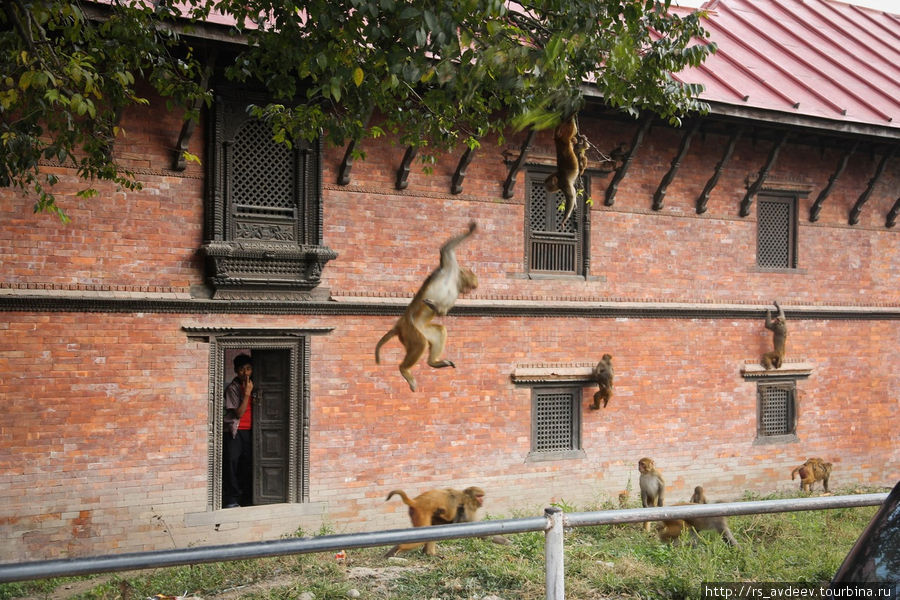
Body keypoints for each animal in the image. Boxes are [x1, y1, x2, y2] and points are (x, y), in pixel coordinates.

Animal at [374, 223, 478, 392]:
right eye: (470, 286)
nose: (468, 291)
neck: (454, 280)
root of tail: (400, 324)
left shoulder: (455, 292)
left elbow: (443, 312)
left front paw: (436, 307)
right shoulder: (449, 266)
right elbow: (446, 250)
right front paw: (471, 230)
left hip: (422, 329)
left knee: (439, 331)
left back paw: (433, 362)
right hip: (410, 330)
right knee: (420, 343)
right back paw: (404, 369)